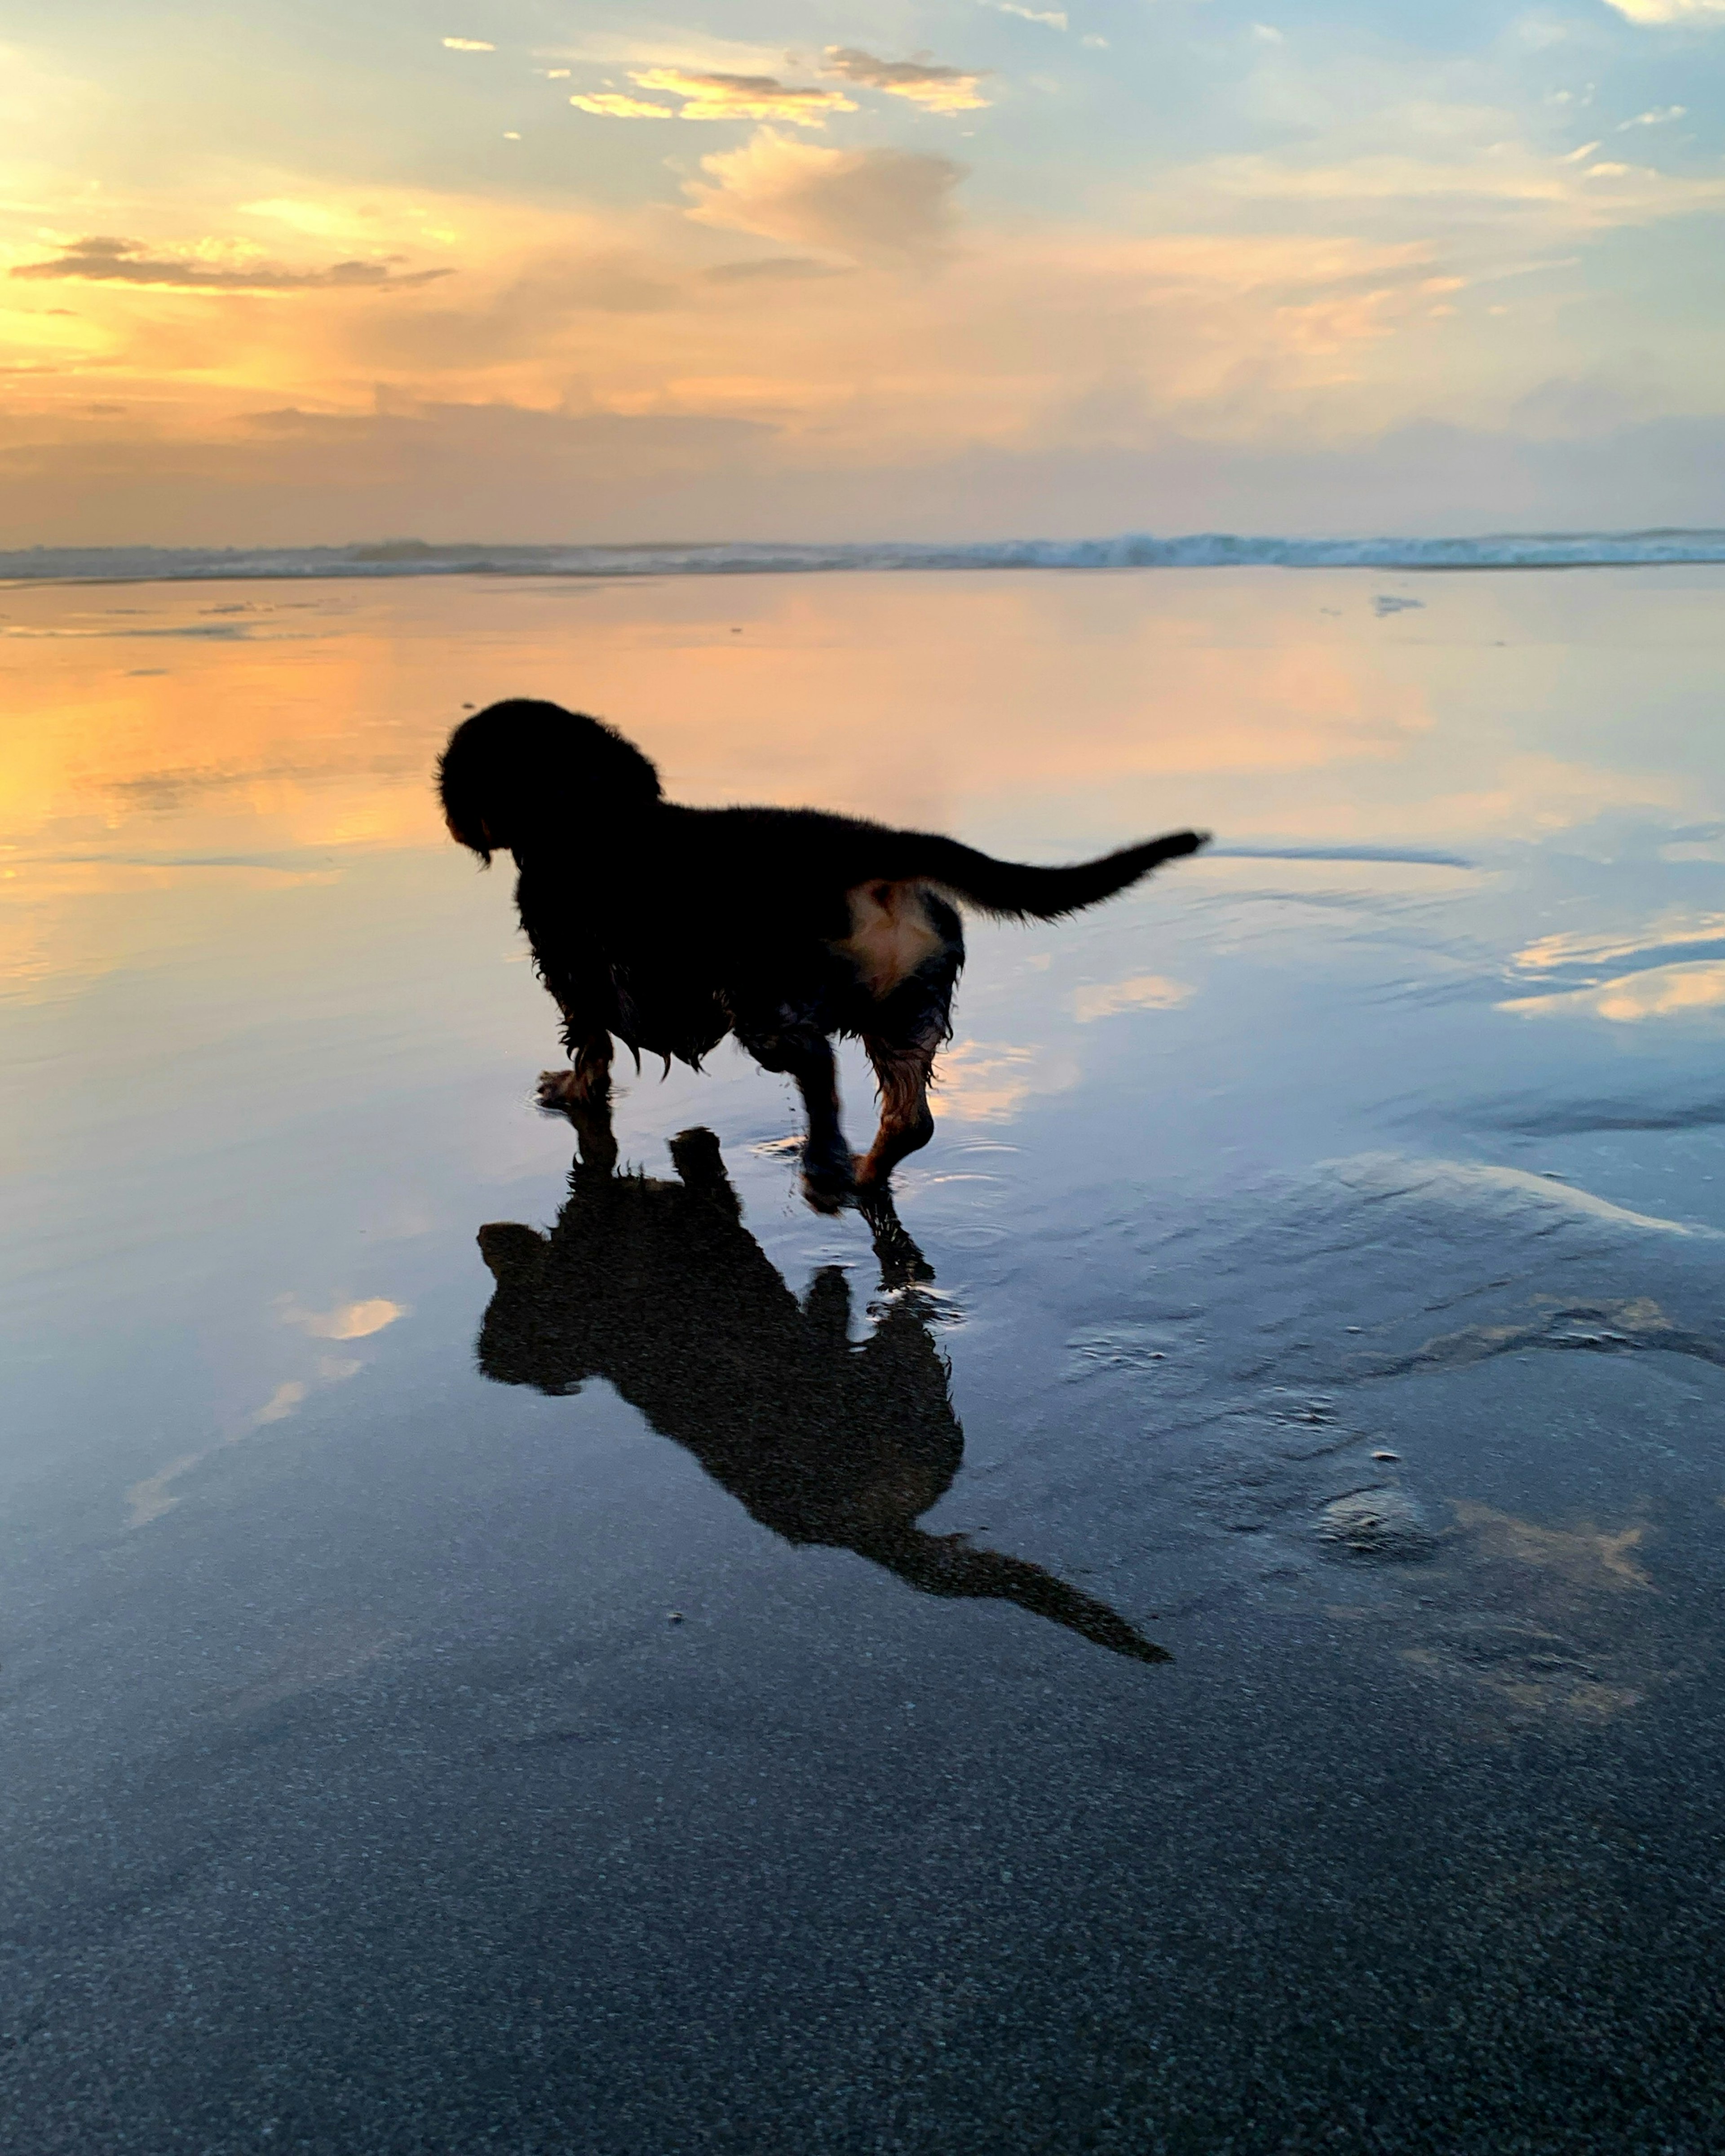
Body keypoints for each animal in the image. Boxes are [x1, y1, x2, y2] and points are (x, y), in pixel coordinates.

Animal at [438, 707, 1208, 1216]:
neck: (583, 807)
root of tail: (869, 849)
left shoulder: (572, 969)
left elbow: (590, 1042)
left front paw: (570, 1089)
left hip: (766, 1003)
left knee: (817, 1067)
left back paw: (824, 1168)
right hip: (910, 1005)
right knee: (909, 1117)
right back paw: (862, 1173)